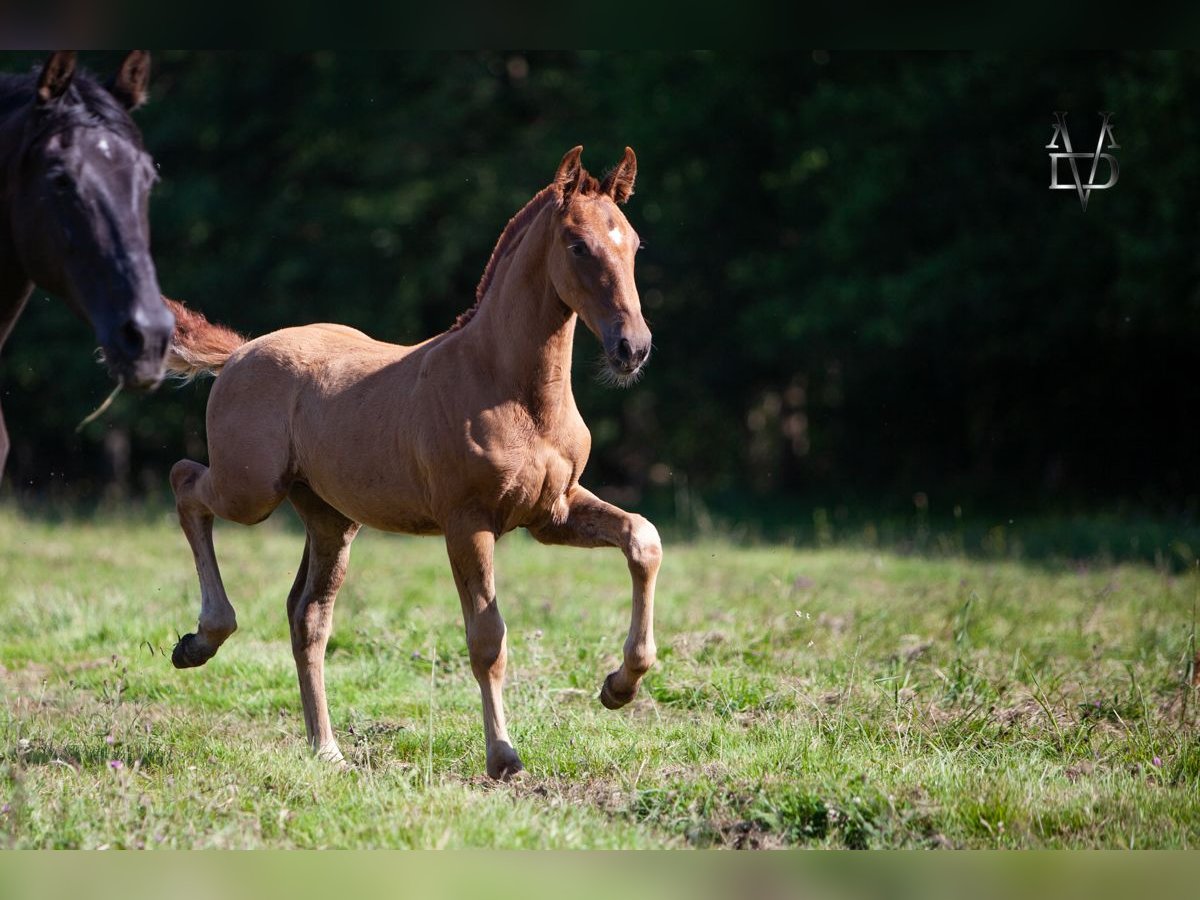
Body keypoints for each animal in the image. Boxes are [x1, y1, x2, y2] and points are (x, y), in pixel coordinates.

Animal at [165, 148, 662, 782]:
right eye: (577, 245)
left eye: (635, 244)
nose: (633, 348)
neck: (513, 391)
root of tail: (240, 352)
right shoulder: (466, 522)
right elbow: (487, 637)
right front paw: (503, 756)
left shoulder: (552, 513)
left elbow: (642, 539)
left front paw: (619, 687)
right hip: (250, 490)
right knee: (185, 482)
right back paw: (203, 639)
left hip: (330, 517)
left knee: (307, 617)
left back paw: (326, 748)